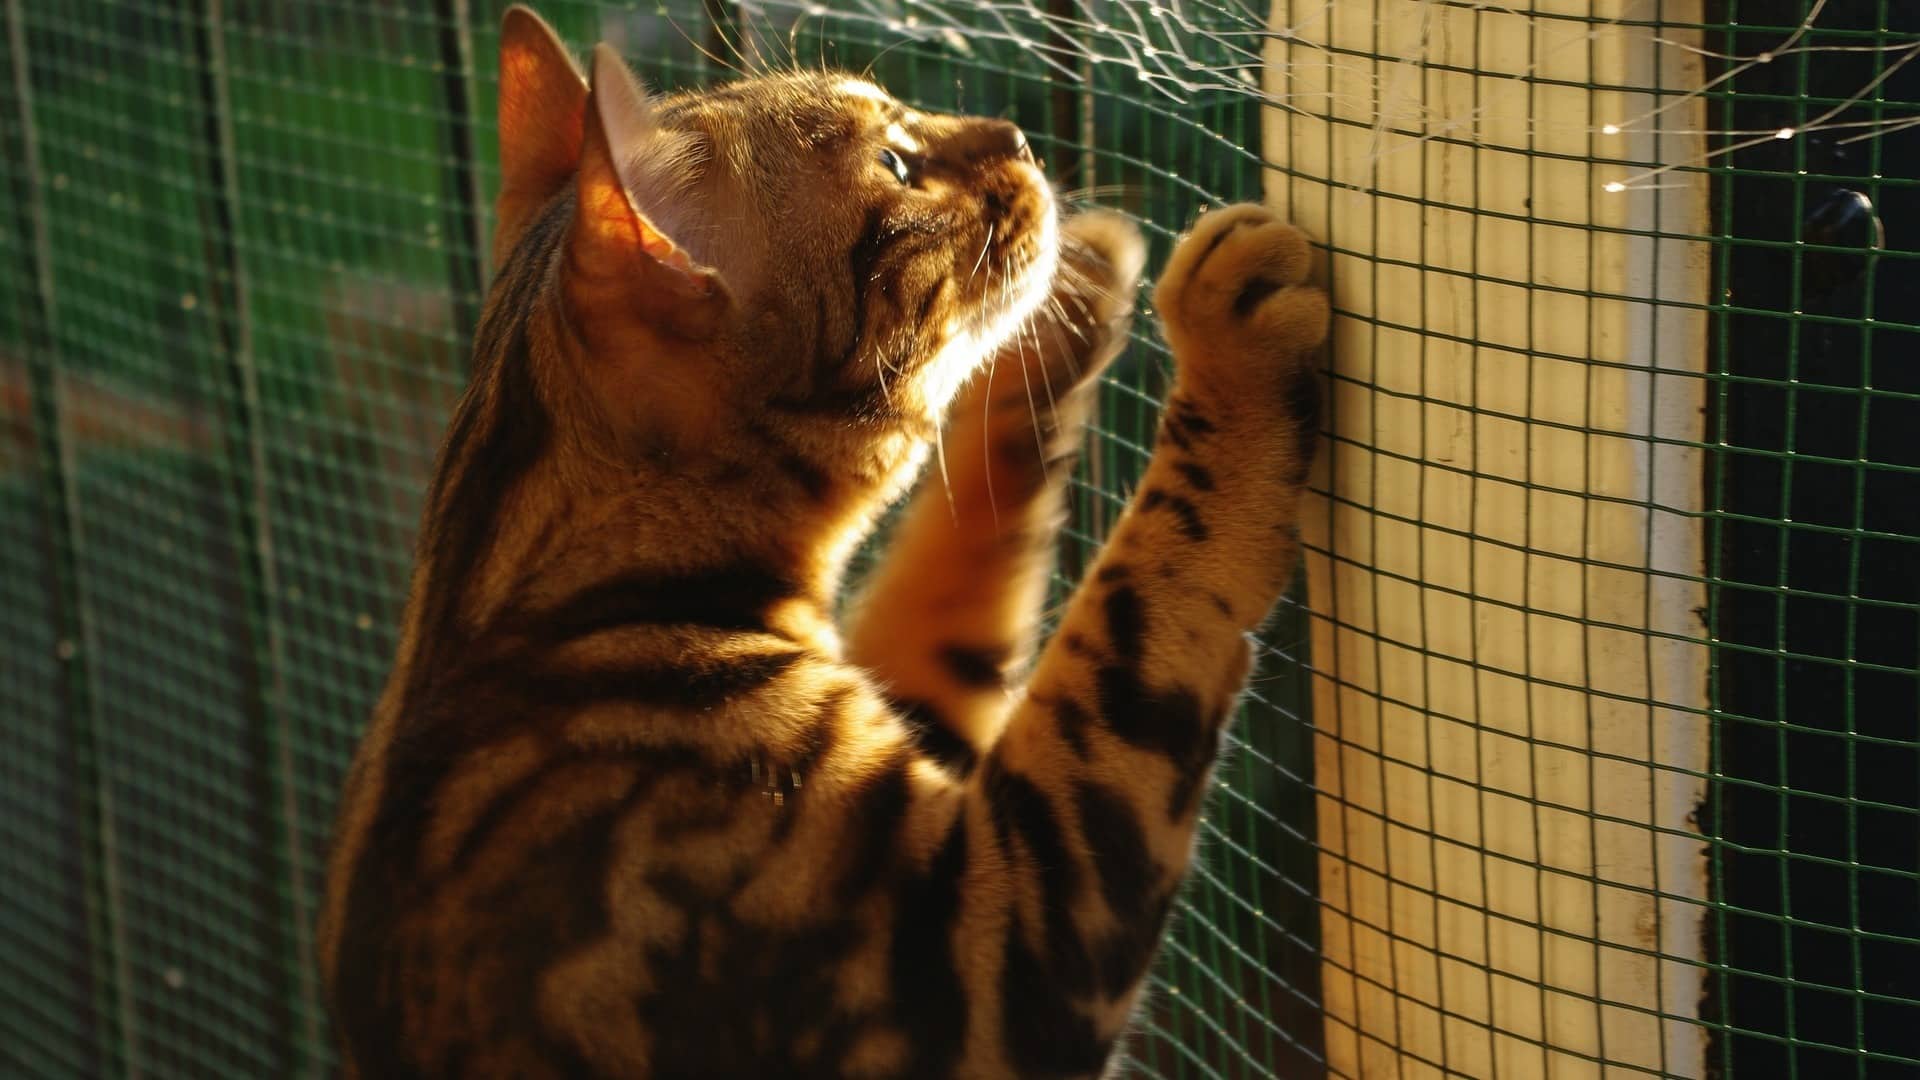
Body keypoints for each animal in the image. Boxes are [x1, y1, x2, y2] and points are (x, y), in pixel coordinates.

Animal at [322, 4, 1328, 1068]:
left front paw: (1067, 312)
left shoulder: (918, 696)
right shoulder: (978, 957)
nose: (1016, 137)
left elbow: (960, 548)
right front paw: (1226, 353)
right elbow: (1137, 615)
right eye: (893, 164)